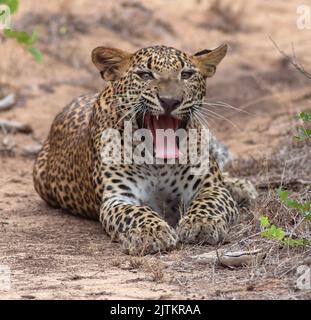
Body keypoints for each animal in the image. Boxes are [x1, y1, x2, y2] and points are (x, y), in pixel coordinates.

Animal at [33, 44, 258, 255]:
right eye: (145, 75)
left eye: (186, 74)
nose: (170, 101)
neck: (159, 163)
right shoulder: (117, 198)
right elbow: (135, 212)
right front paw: (151, 232)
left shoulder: (210, 186)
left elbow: (209, 201)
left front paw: (202, 223)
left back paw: (240, 187)